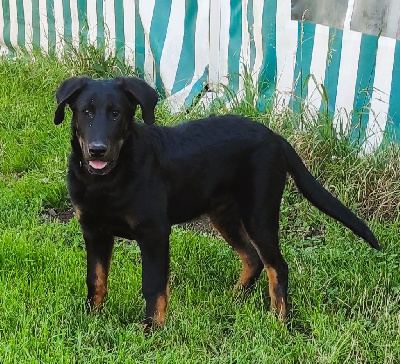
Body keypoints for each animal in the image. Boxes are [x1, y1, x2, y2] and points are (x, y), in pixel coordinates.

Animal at [54, 77, 382, 330]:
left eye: (116, 114)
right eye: (86, 112)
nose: (97, 150)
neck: (108, 180)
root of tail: (275, 138)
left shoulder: (154, 233)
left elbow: (154, 285)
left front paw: (152, 328)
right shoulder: (93, 231)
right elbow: (95, 278)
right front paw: (92, 317)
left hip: (259, 212)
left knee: (277, 266)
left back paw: (279, 319)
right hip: (223, 214)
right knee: (252, 258)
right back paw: (234, 298)